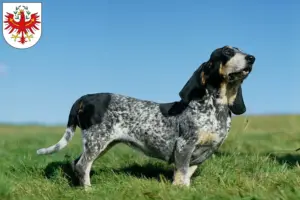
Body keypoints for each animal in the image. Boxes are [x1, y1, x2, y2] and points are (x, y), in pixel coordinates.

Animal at [35, 46, 255, 188]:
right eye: (227, 52)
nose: (252, 58)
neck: (216, 108)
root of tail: (85, 97)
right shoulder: (184, 146)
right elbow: (182, 174)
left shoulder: (203, 153)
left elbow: (185, 175)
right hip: (97, 141)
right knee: (82, 165)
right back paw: (88, 190)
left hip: (101, 144)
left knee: (78, 164)